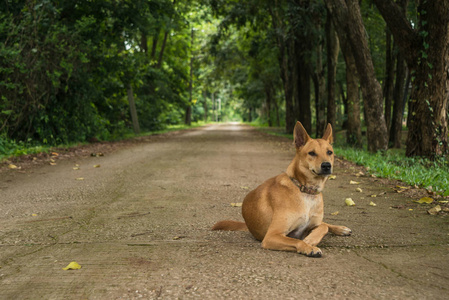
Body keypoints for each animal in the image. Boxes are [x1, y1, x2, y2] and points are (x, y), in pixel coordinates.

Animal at [212, 122, 352, 258]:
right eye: (312, 153)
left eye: (330, 152)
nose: (327, 165)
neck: (305, 191)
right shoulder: (272, 236)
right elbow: (298, 240)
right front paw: (309, 246)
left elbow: (322, 226)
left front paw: (311, 239)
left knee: (325, 224)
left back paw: (341, 229)